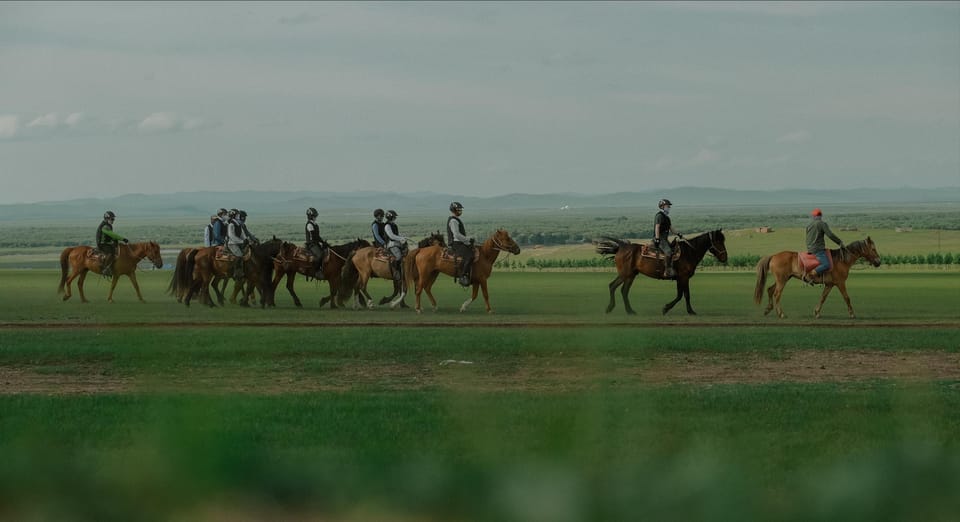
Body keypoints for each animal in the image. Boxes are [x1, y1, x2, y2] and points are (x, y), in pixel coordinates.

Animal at [592, 230, 728, 314]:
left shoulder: (679, 279)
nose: (724, 257)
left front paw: (667, 308)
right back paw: (612, 308)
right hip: (626, 274)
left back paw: (629, 311)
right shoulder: (684, 278)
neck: (689, 252)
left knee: (622, 290)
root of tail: (621, 247)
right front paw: (687, 311)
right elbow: (685, 295)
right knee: (614, 287)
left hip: (630, 275)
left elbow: (680, 295)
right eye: (718, 241)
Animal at [752, 236, 880, 316]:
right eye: (873, 249)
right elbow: (847, 297)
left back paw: (768, 309)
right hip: (782, 280)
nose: (878, 262)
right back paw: (781, 313)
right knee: (777, 294)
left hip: (783, 279)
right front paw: (852, 314)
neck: (841, 260)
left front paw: (817, 312)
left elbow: (823, 297)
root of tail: (773, 256)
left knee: (770, 290)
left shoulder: (829, 285)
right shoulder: (840, 283)